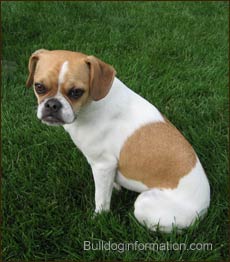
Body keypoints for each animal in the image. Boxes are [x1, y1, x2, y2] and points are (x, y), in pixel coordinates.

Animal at [26, 49, 209, 233]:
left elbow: (101, 199)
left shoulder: (103, 165)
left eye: (76, 92)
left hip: (144, 204)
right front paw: (114, 187)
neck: (91, 105)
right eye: (39, 86)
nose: (52, 105)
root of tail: (203, 210)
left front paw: (98, 218)